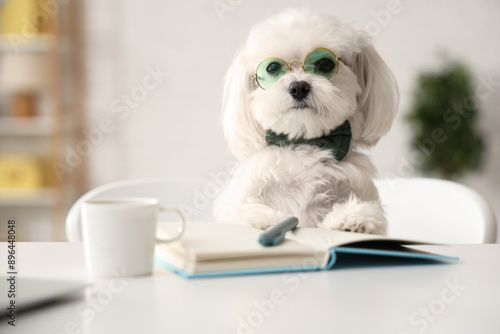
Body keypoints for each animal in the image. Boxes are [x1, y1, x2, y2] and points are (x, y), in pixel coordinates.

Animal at [214, 10, 398, 235]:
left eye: (325, 64)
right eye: (273, 67)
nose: (299, 87)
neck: (305, 142)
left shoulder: (356, 188)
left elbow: (368, 213)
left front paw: (351, 219)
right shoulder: (244, 195)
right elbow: (241, 212)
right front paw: (268, 220)